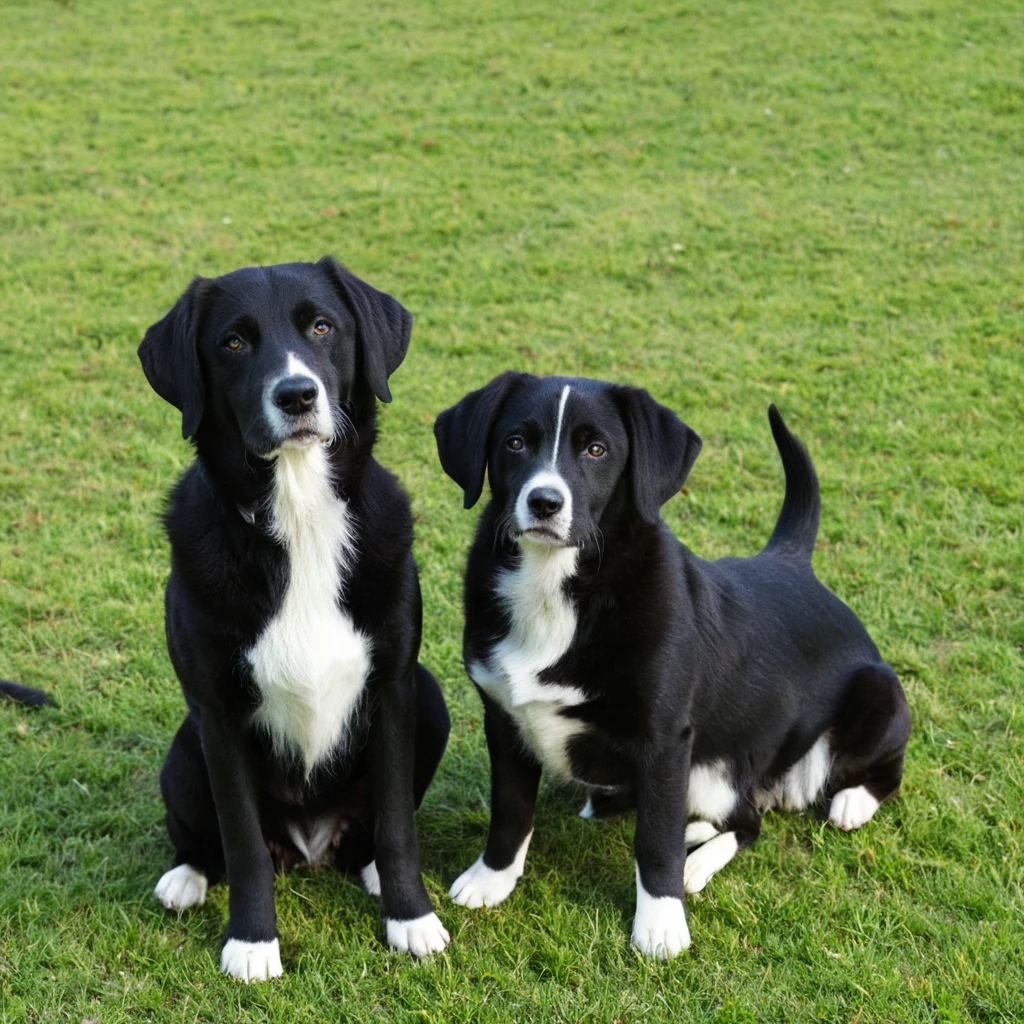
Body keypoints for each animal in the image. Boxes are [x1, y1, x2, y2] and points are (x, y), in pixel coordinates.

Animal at [138, 258, 450, 983]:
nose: (297, 395)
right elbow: (243, 842)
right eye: (232, 342)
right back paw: (186, 878)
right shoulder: (218, 716)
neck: (299, 515)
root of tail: (309, 848)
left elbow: (398, 824)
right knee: (210, 840)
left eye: (322, 326)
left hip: (432, 699)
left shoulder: (394, 690)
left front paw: (410, 917)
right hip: (186, 749)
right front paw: (252, 942)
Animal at [432, 376, 913, 958]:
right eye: (515, 443)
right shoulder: (505, 720)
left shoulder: (664, 741)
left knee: (773, 812)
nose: (545, 502)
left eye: (597, 450)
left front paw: (660, 923)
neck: (558, 590)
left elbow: (654, 841)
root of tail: (792, 561)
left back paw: (836, 809)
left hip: (861, 704)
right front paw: (491, 879)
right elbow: (511, 810)